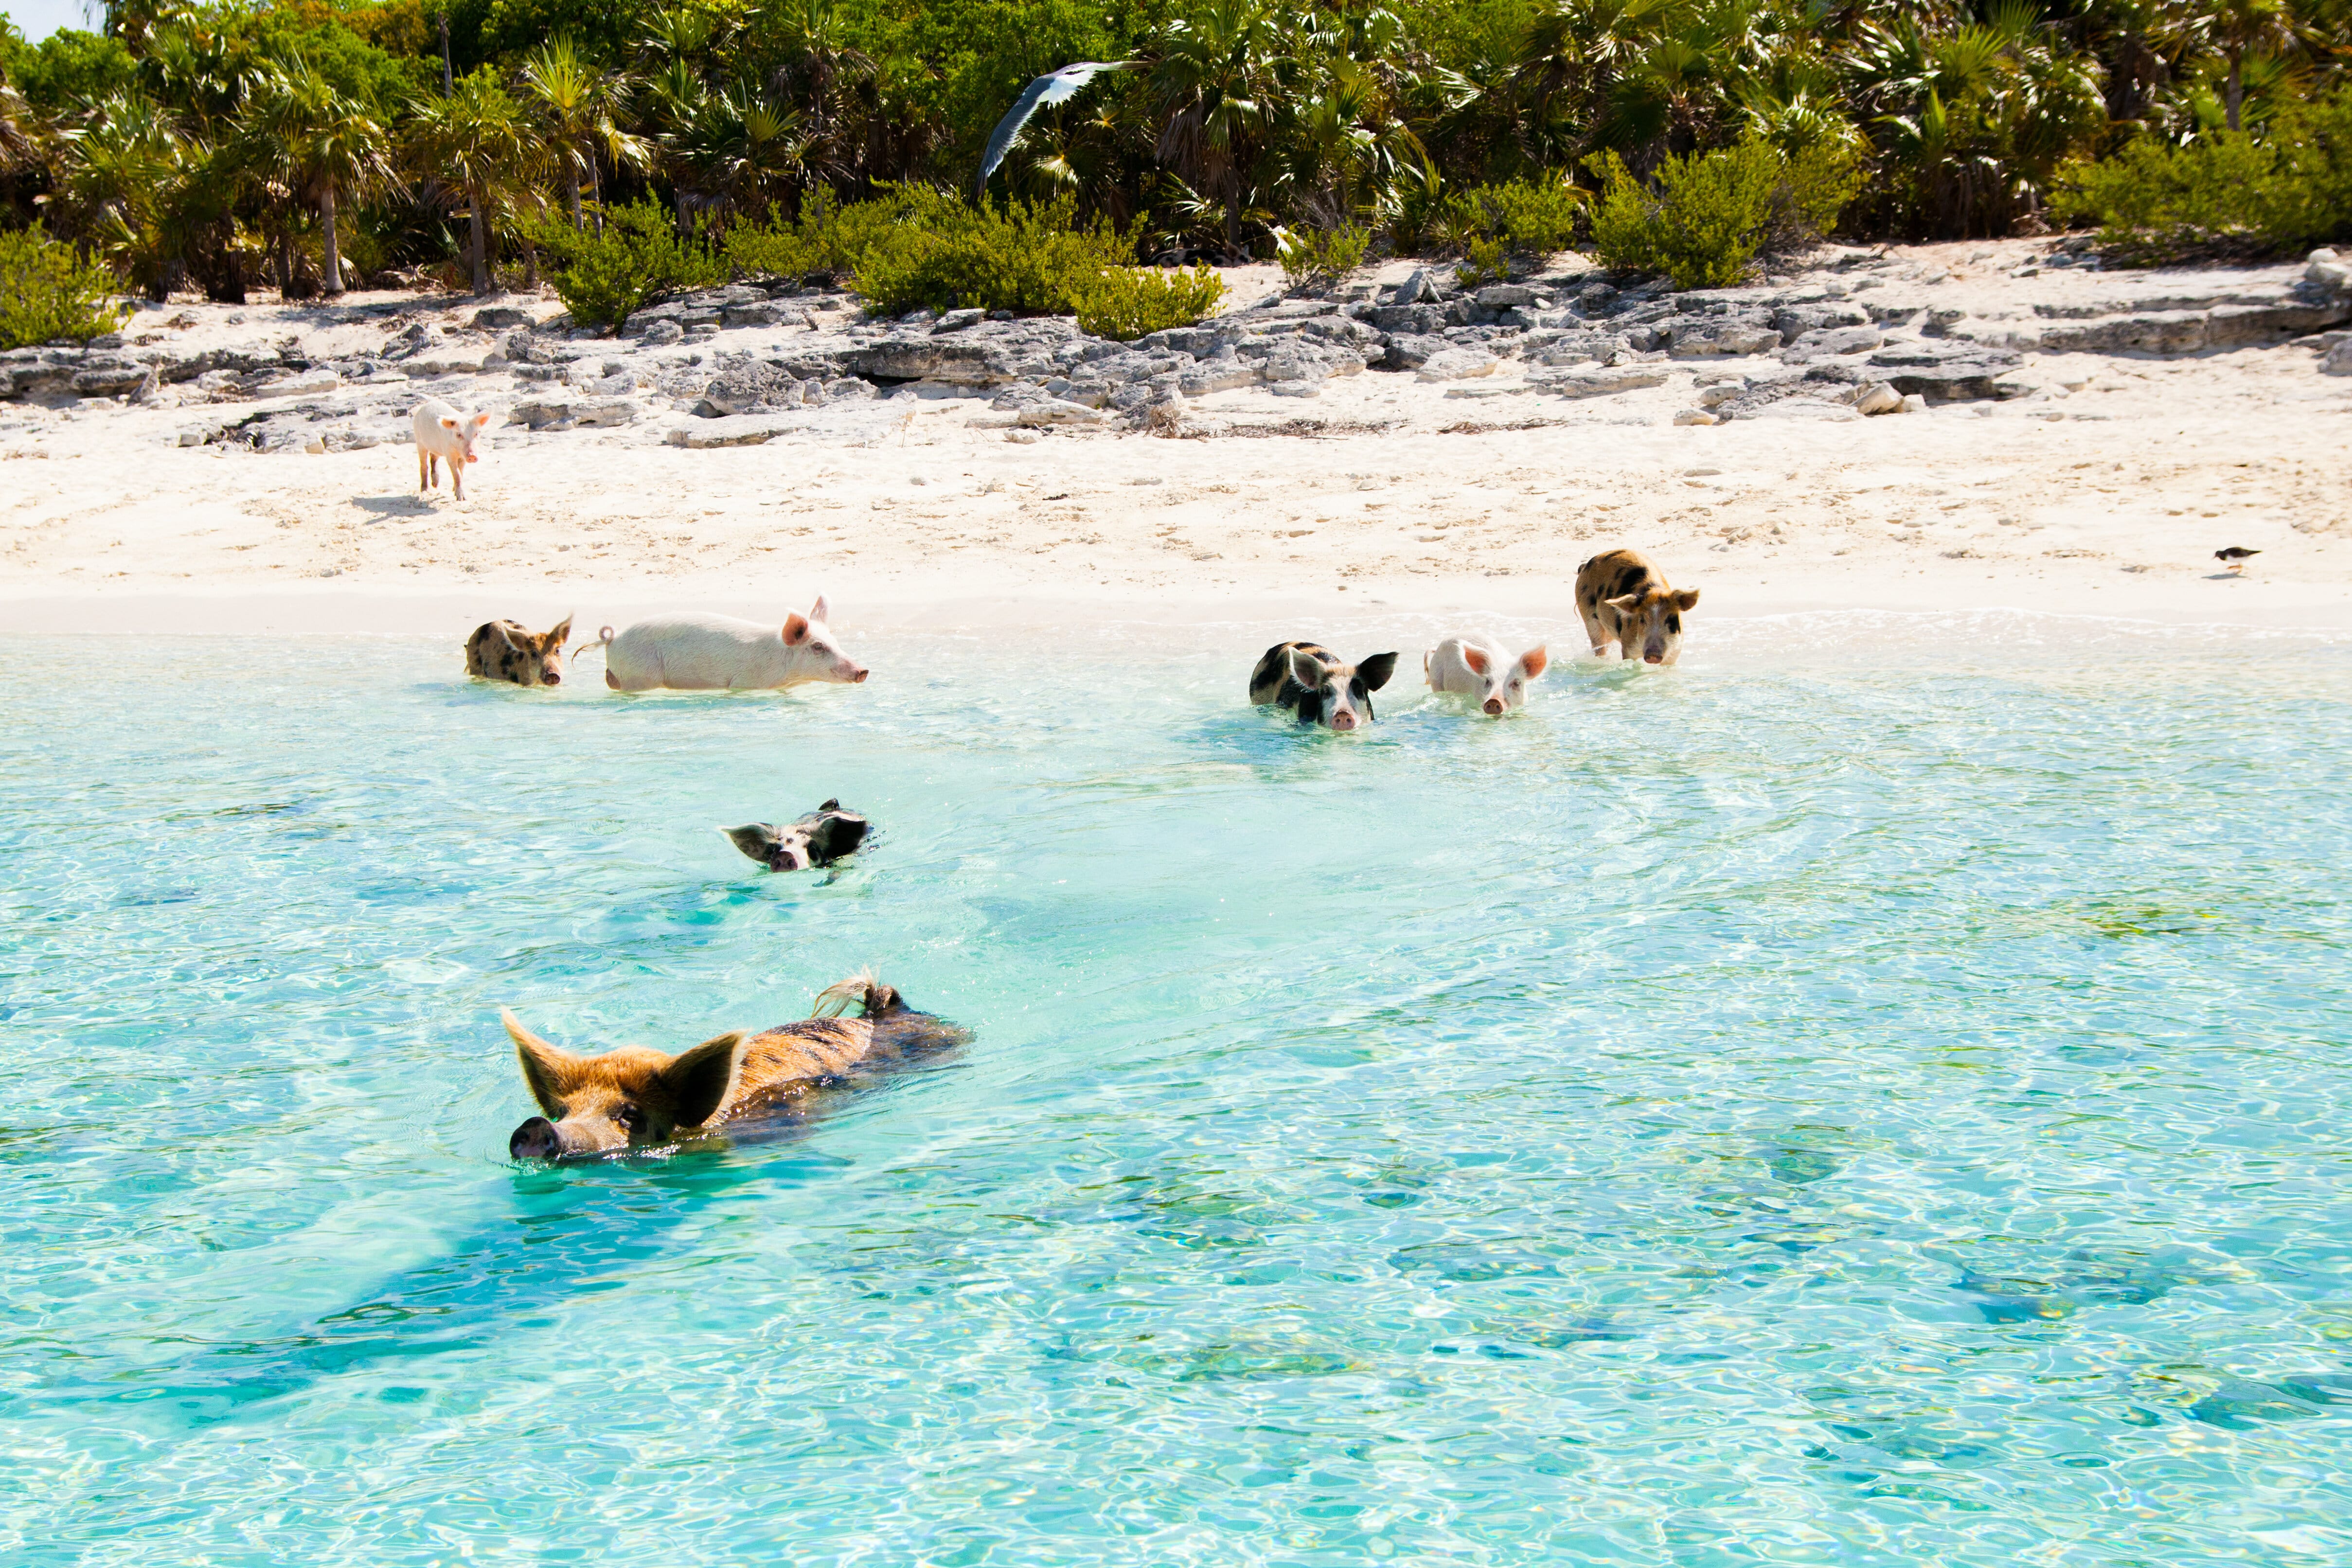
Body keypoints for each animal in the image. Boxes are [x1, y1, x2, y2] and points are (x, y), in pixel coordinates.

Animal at [597, 594, 874, 691]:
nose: (863, 671)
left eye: (835, 641)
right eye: (819, 647)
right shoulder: (747, 682)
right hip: (639, 674)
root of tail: (613, 639)